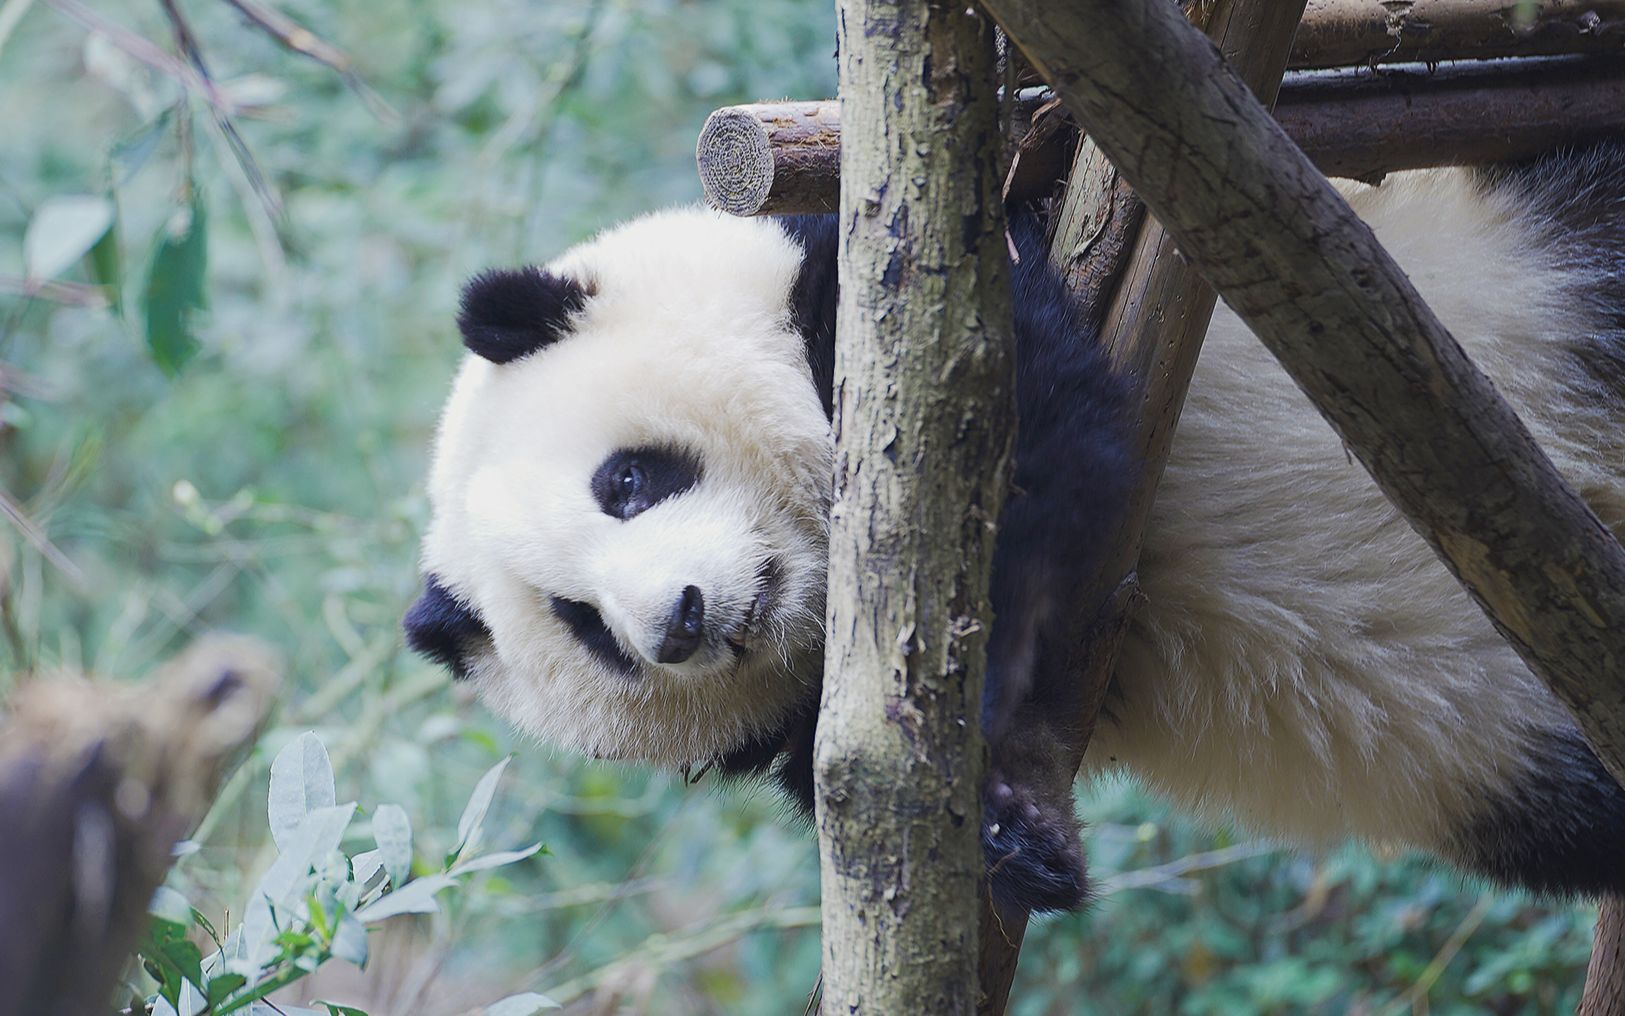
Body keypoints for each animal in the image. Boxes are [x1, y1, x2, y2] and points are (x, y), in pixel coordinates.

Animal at [403, 143, 1625, 910]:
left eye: (626, 481)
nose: (682, 622)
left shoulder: (905, 283)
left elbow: (1035, 443)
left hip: (1522, 261)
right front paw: (1008, 827)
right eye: (585, 626)